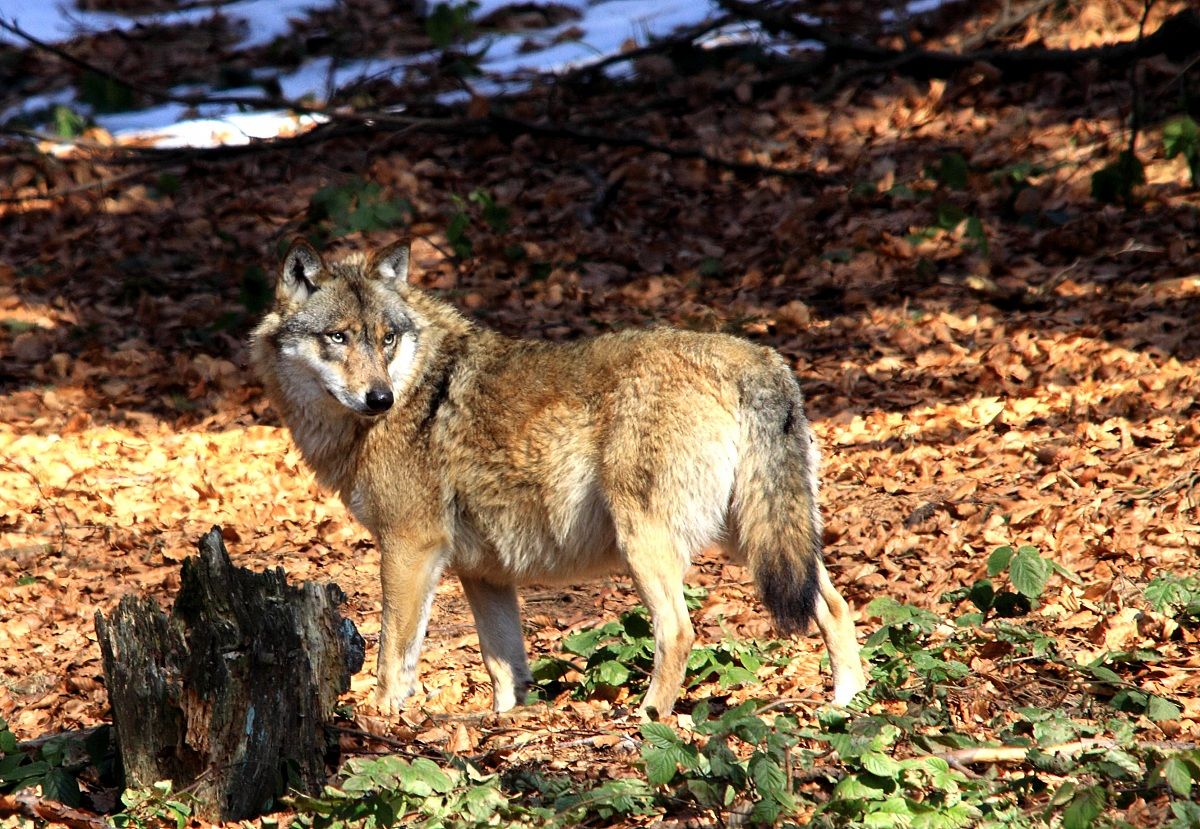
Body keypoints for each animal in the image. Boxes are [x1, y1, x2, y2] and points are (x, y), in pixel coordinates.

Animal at [251, 240, 868, 717]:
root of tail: (756, 358)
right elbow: (504, 668)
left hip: (648, 540)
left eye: (386, 339)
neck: (415, 385)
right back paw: (847, 704)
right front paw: (506, 722)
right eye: (338, 337)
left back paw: (647, 719)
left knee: (679, 631)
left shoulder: (410, 547)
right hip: (757, 540)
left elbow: (391, 657)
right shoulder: (483, 572)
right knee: (835, 604)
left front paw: (381, 720)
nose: (379, 398)